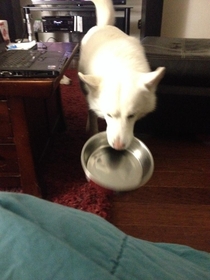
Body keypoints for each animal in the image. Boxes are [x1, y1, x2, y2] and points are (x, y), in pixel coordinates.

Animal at [78, 0, 165, 150]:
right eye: (109, 115)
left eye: (131, 115)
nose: (118, 147)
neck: (120, 66)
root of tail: (104, 25)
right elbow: (93, 113)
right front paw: (93, 132)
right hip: (84, 85)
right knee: (89, 106)